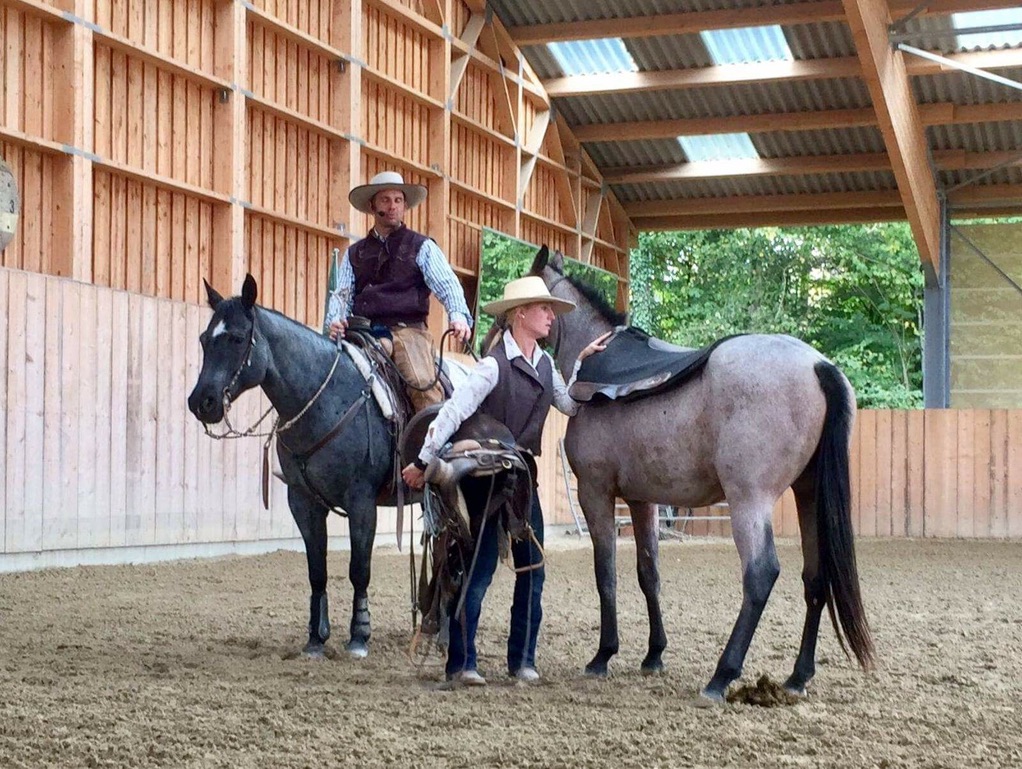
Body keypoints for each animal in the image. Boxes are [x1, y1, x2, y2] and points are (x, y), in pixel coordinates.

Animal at [189, 276, 390, 662]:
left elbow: (359, 570)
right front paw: (315, 639)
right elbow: (317, 571)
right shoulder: (303, 502)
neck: (327, 399)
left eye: (238, 338)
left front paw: (359, 636)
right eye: (205, 339)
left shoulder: (362, 502)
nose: (201, 402)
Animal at [527, 246, 870, 703]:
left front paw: (603, 655)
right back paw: (798, 677)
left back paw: (721, 676)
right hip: (808, 494)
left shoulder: (596, 493)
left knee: (760, 574)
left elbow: (607, 574)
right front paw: (653, 654)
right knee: (814, 579)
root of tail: (819, 366)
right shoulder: (642, 499)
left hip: (749, 500)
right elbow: (648, 574)